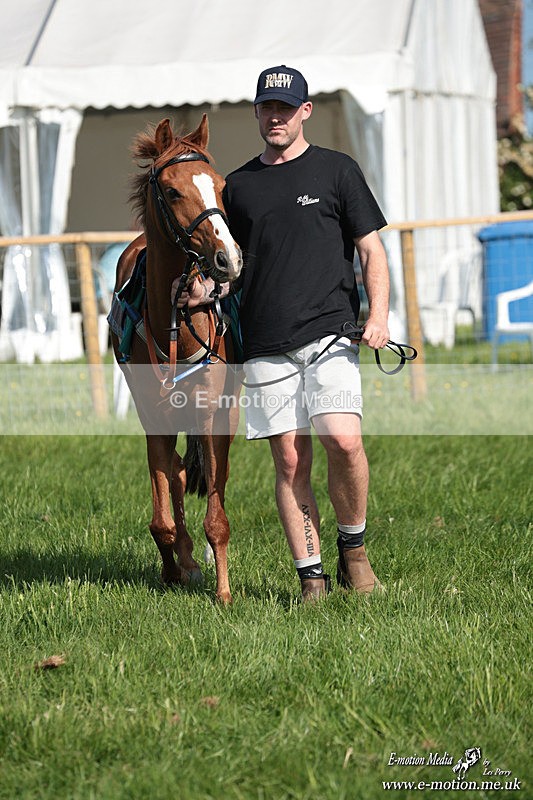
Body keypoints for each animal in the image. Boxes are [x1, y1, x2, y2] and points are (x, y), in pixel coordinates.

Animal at [110, 115, 243, 603]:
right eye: (171, 191)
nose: (228, 258)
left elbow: (216, 513)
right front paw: (173, 569)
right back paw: (186, 561)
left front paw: (223, 593)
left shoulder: (211, 410)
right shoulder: (152, 415)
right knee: (180, 475)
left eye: (221, 186)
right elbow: (162, 516)